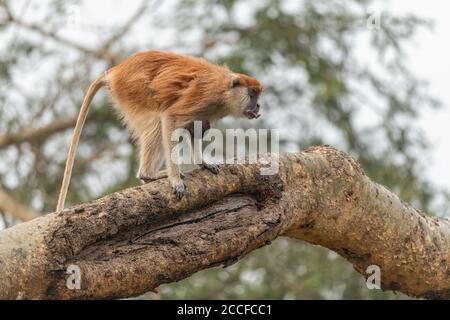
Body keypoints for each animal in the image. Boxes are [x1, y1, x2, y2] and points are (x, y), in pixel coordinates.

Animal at [58, 51, 266, 211]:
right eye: (252, 94)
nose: (258, 106)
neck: (226, 90)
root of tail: (116, 70)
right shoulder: (206, 95)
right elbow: (170, 118)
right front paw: (175, 180)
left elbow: (197, 129)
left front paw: (203, 163)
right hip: (134, 91)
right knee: (157, 124)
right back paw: (148, 174)